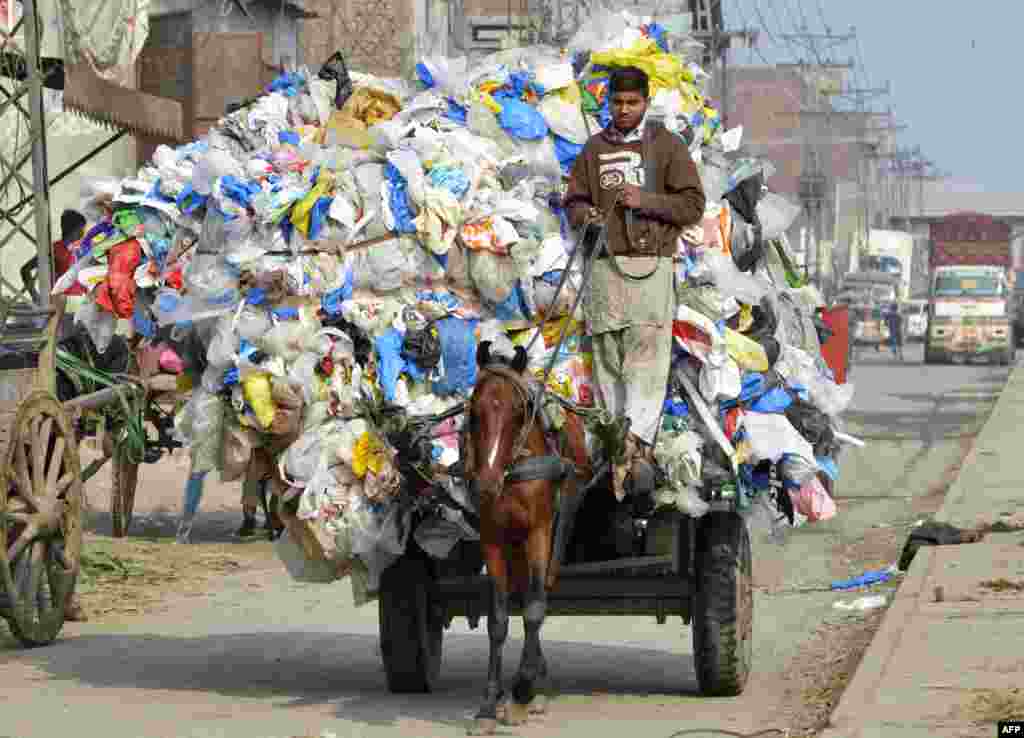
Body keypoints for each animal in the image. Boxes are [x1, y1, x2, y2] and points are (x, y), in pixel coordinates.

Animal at [464, 339, 593, 732]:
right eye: (473, 411)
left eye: (520, 411)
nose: (486, 485)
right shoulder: (493, 537)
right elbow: (498, 620)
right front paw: (489, 704)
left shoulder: (539, 531)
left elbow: (535, 610)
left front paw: (521, 689)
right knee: (524, 593)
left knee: (539, 594)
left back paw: (532, 682)